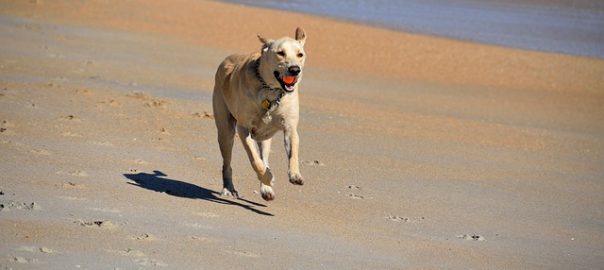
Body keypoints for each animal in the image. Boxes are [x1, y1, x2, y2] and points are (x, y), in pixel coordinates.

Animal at [212, 28, 306, 200]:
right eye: (280, 53)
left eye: (300, 54)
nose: (295, 70)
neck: (271, 90)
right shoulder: (243, 129)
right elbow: (255, 161)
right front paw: (268, 178)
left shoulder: (290, 128)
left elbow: (292, 153)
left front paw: (295, 175)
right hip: (225, 132)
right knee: (227, 163)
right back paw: (229, 188)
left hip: (265, 138)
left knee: (264, 157)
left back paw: (266, 189)